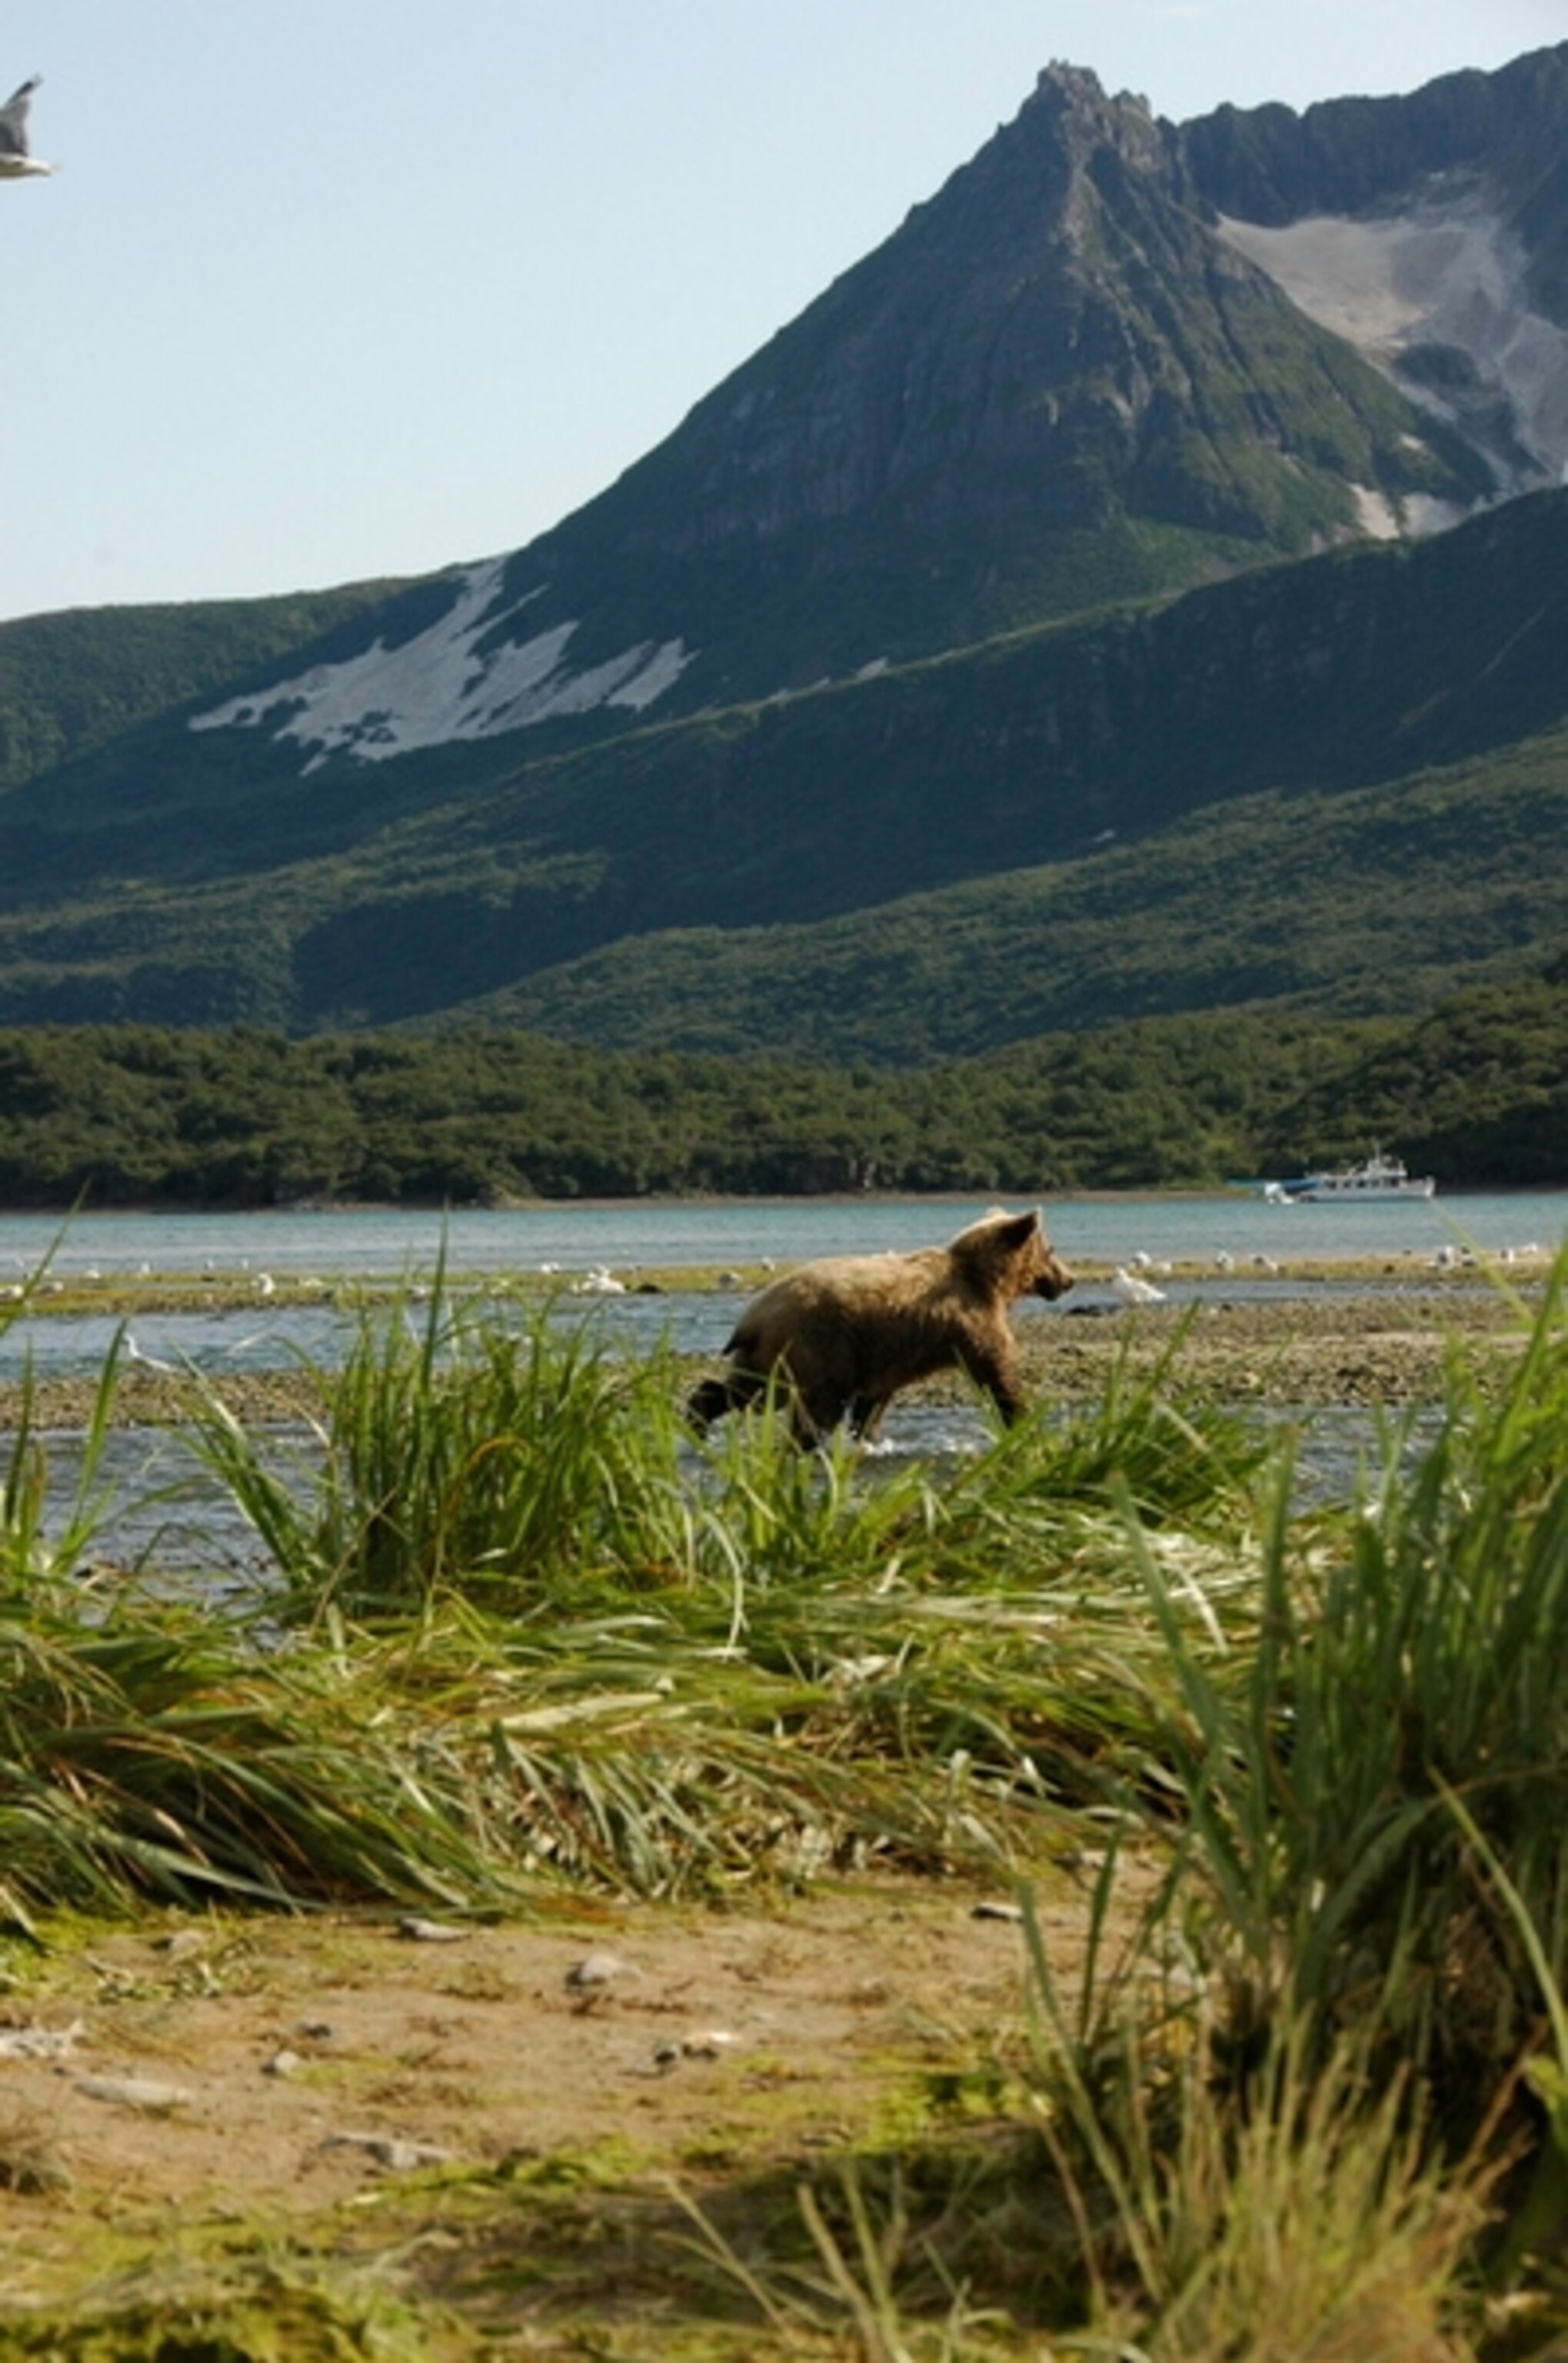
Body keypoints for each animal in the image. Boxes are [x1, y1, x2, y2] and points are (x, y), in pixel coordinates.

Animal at [687, 1207, 1074, 1445]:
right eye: (1052, 1249)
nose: (1069, 1279)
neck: (987, 1282)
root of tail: (753, 1317)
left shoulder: (889, 1356)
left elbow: (874, 1400)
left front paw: (869, 1436)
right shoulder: (970, 1324)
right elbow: (999, 1375)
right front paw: (1023, 1419)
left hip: (770, 1353)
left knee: (749, 1391)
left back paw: (698, 1418)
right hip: (816, 1345)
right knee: (813, 1405)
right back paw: (804, 1443)